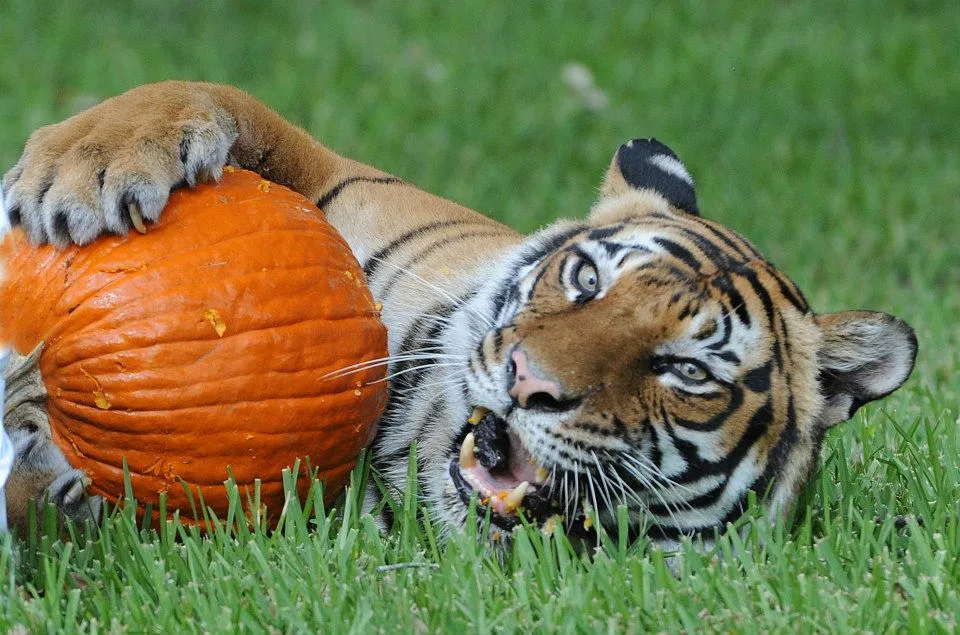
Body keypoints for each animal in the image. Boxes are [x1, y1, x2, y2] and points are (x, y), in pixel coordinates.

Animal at [0, 81, 917, 547]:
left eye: (686, 370)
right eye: (586, 278)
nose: (526, 382)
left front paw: (45, 491)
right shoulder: (340, 179)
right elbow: (215, 95)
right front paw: (83, 168)